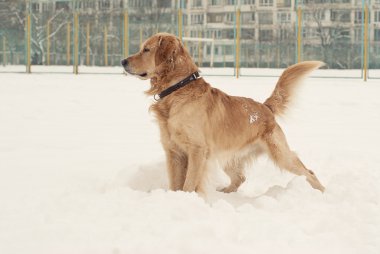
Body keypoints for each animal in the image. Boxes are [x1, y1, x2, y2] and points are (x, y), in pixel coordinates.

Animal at [123, 32, 326, 193]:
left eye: (146, 49)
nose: (122, 61)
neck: (177, 90)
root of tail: (265, 107)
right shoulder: (173, 151)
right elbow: (175, 183)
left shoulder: (197, 150)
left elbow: (189, 183)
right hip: (228, 155)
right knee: (240, 178)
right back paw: (225, 193)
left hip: (281, 155)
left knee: (309, 171)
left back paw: (322, 192)